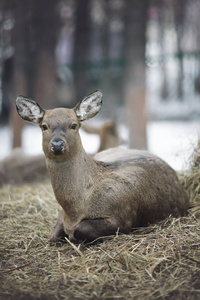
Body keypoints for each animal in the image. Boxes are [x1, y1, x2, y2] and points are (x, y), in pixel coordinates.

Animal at [15, 91, 189, 244]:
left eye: (74, 125)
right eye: (44, 126)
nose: (57, 144)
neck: (75, 209)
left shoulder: (121, 217)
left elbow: (82, 229)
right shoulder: (61, 215)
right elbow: (55, 235)